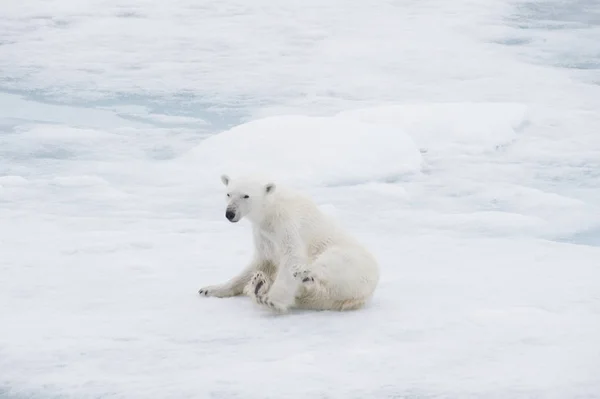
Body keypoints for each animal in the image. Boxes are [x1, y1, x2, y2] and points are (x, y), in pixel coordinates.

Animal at [199, 174, 382, 312]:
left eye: (246, 195)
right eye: (228, 194)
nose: (230, 213)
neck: (269, 212)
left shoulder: (286, 223)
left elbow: (292, 255)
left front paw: (273, 300)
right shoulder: (263, 235)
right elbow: (260, 262)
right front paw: (209, 289)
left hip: (348, 259)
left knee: (326, 265)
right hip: (328, 298)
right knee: (314, 294)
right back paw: (259, 284)